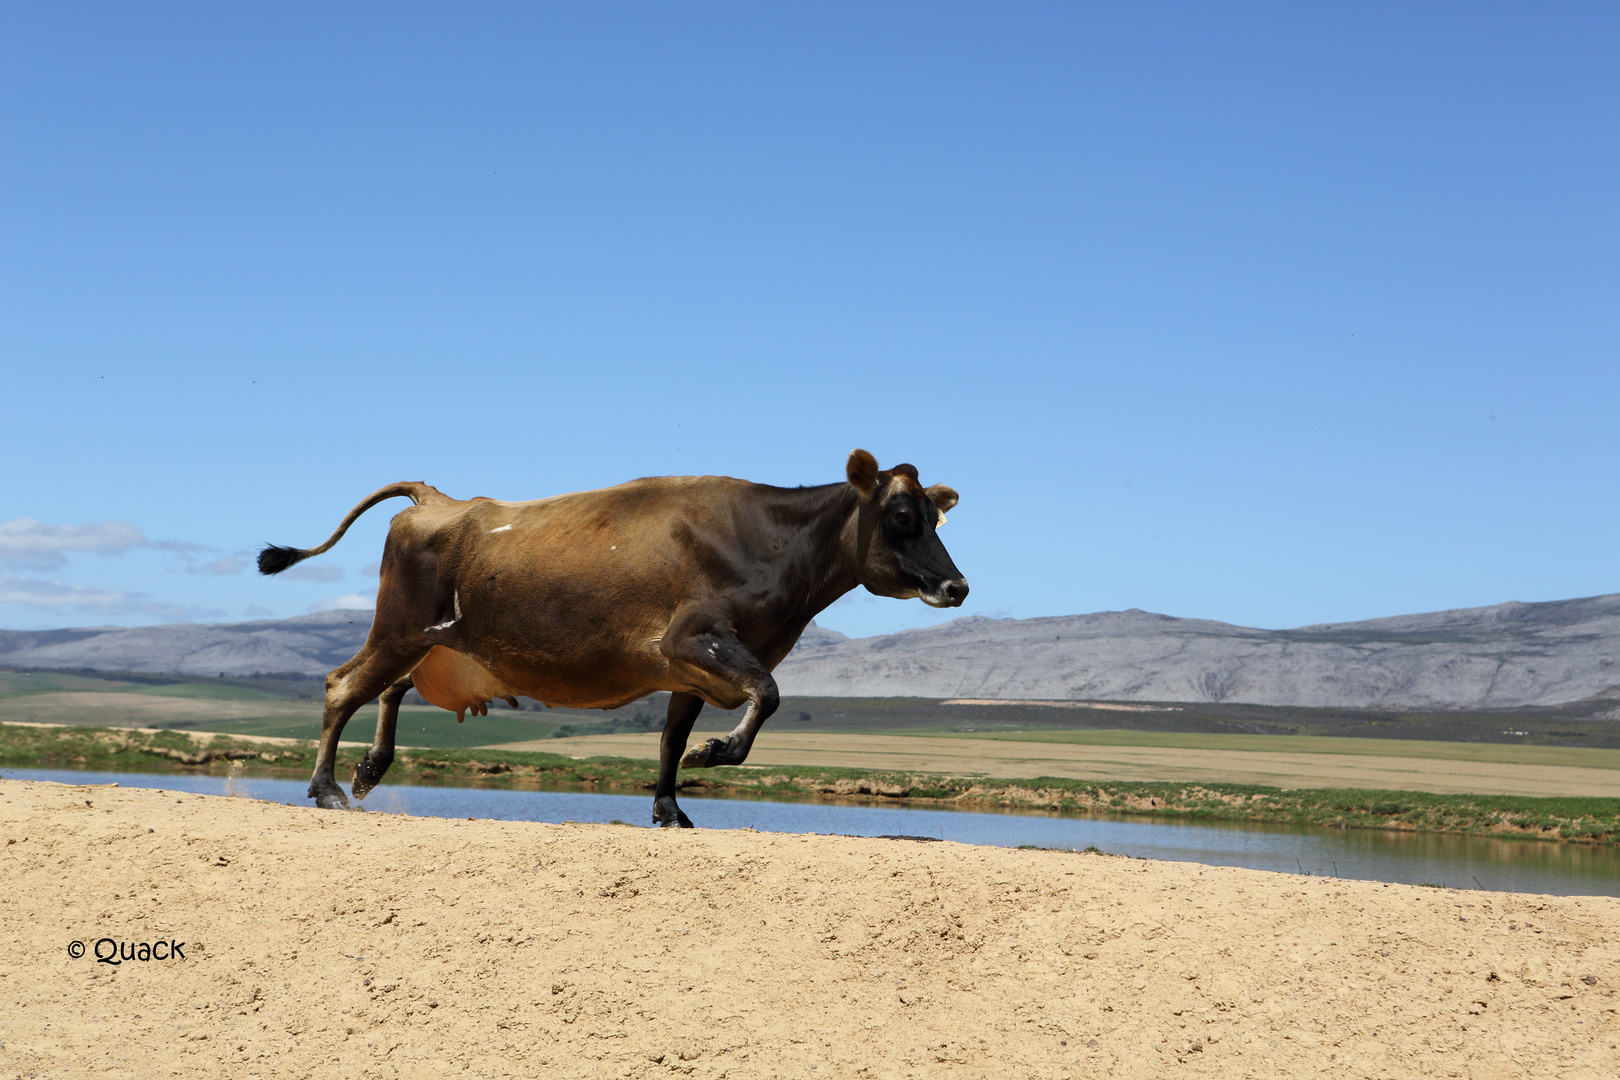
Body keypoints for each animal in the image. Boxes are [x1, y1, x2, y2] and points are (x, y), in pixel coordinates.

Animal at [259, 446, 965, 829]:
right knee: (344, 685)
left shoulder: (691, 672)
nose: (957, 586)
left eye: (937, 517)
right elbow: (767, 693)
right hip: (400, 627)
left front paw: (671, 807)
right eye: (904, 516)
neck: (774, 545)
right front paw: (715, 752)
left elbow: (671, 738)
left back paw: (369, 770)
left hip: (436, 642)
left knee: (389, 688)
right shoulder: (692, 639)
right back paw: (327, 790)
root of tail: (444, 500)